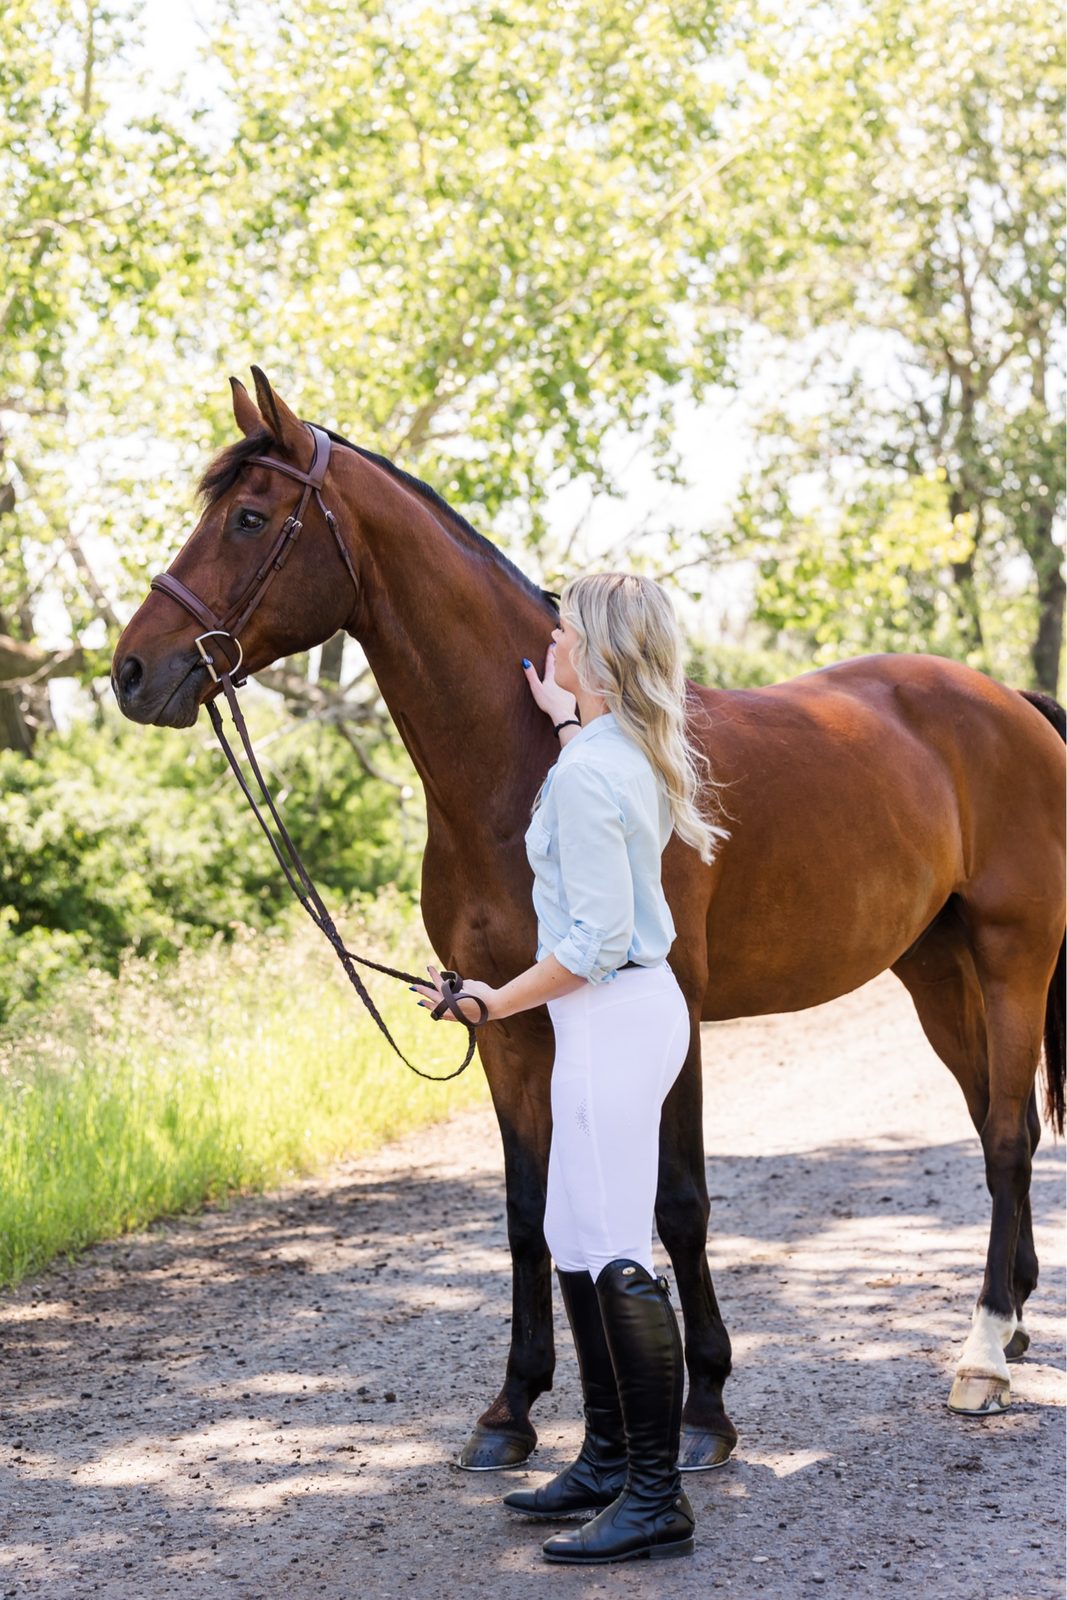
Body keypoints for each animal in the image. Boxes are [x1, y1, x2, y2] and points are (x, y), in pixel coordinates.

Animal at [111, 368, 1066, 1470]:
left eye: (250, 518)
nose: (132, 671)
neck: (523, 772)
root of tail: (1007, 703)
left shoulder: (674, 1010)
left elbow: (678, 1203)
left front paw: (703, 1408)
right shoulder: (505, 1022)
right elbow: (530, 1211)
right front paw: (512, 1409)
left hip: (1010, 959)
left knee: (1005, 1138)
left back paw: (981, 1358)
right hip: (933, 973)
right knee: (991, 1126)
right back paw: (1011, 1320)